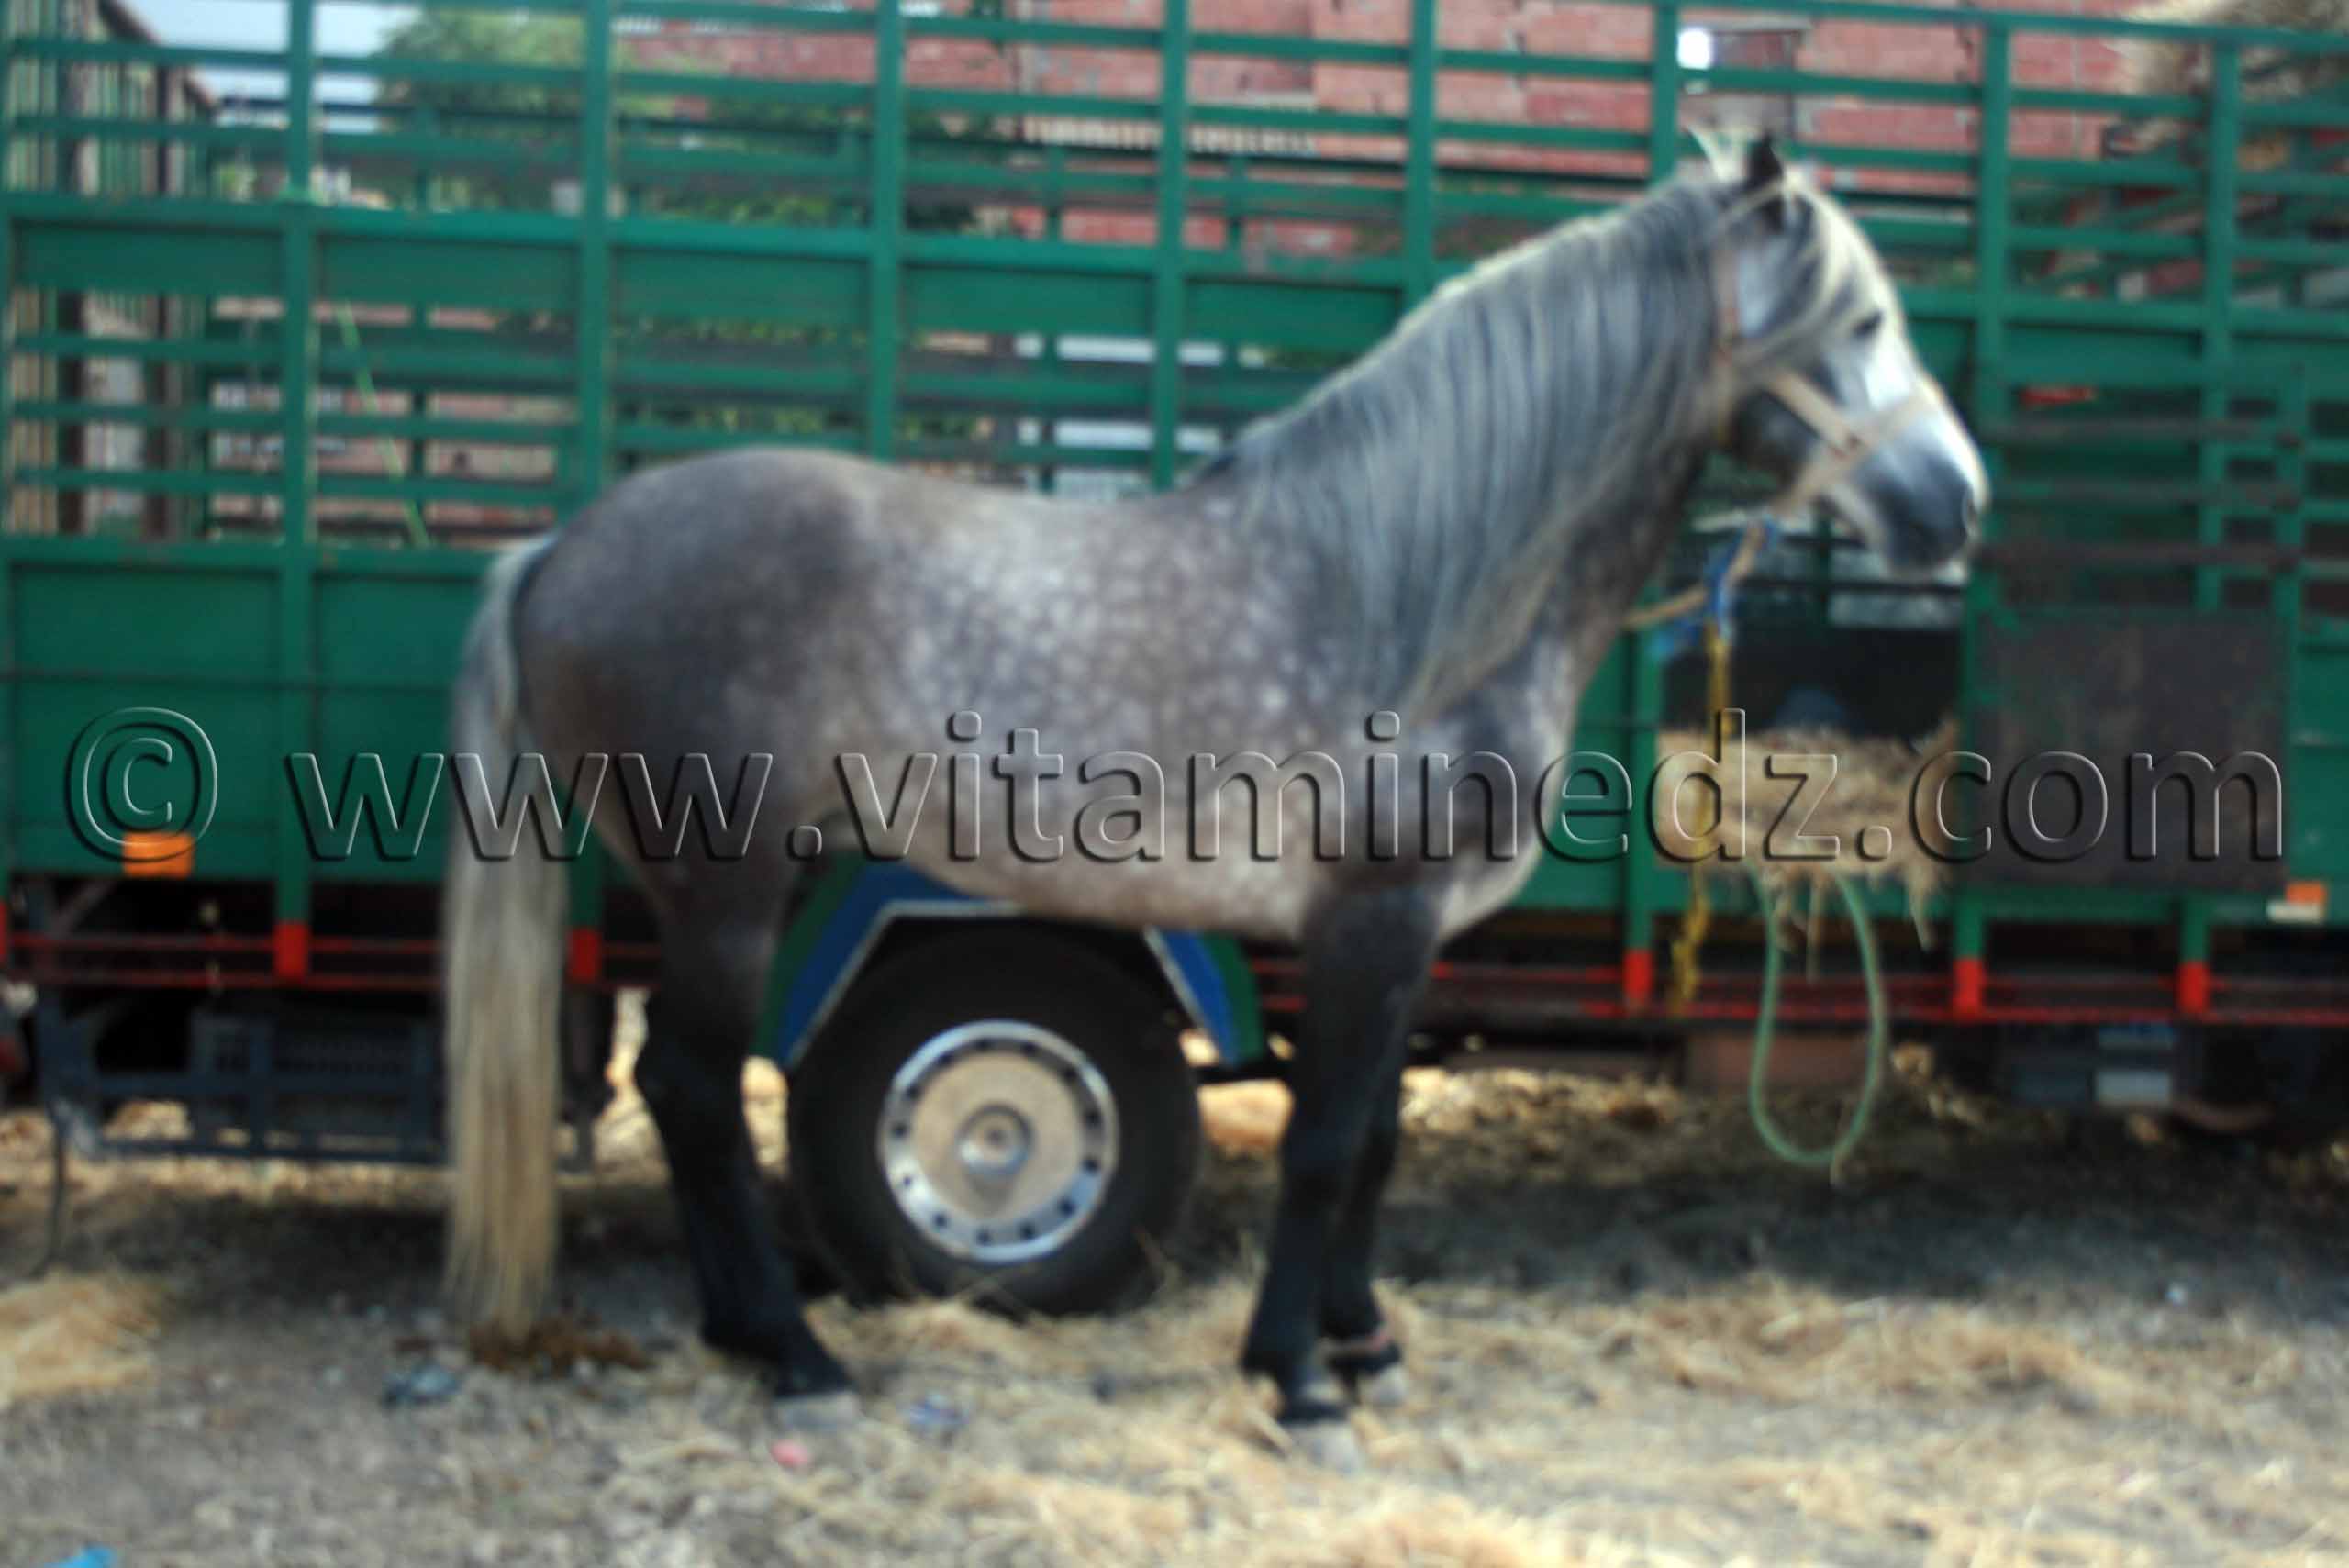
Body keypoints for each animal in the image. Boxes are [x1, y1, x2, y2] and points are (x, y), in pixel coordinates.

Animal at [439, 137, 1985, 1467]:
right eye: (1857, 322)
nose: (1957, 506)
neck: (1416, 592)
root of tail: (561, 547)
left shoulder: (1412, 934)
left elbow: (1375, 1142)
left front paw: (1365, 1347)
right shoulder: (1369, 920)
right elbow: (1320, 1147)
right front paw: (1298, 1381)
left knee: (675, 1090)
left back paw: (740, 1334)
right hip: (731, 887)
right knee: (695, 1091)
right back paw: (796, 1353)